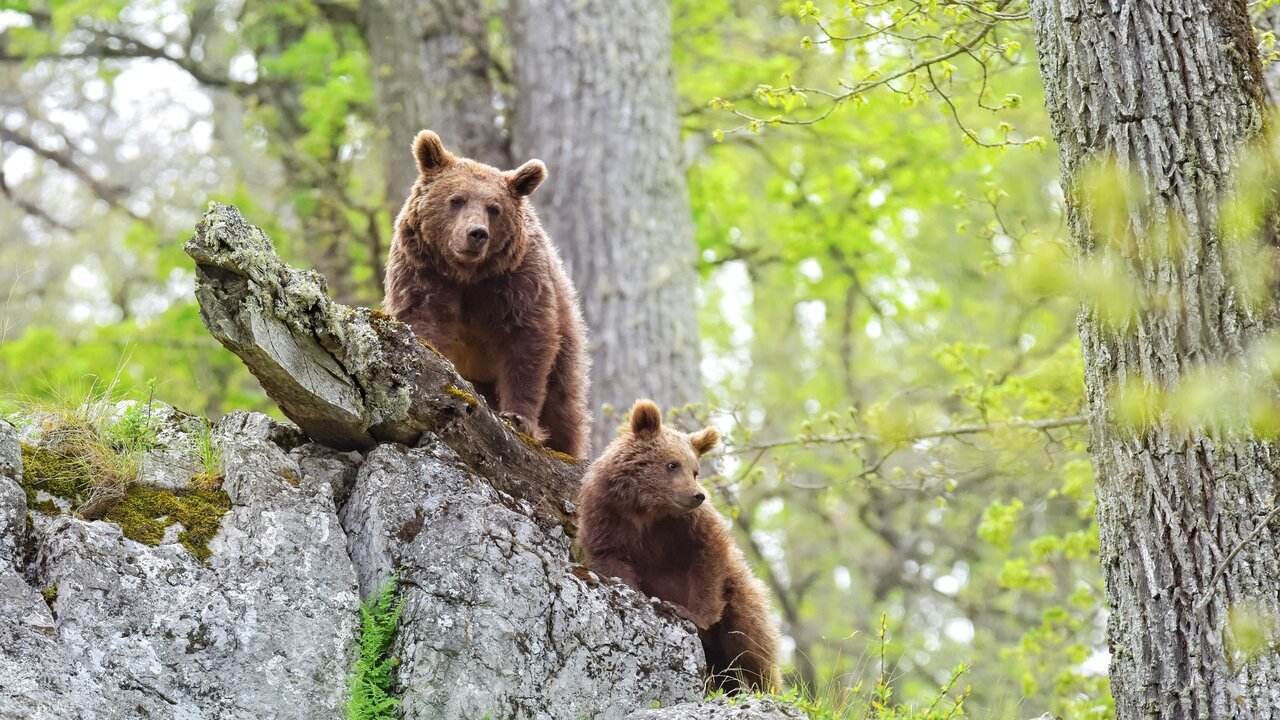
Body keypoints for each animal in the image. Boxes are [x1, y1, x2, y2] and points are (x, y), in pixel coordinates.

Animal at [381, 128, 591, 453]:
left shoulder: (516, 279)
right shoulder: (421, 267)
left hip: (567, 342)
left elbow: (527, 342)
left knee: (563, 407)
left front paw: (518, 417)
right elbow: (421, 317)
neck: (467, 273)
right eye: (457, 200)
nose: (476, 233)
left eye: (494, 208)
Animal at [578, 397, 778, 691]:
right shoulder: (605, 513)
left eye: (695, 470)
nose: (698, 495)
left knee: (751, 644)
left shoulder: (685, 525)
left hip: (739, 593)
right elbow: (611, 559)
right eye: (672, 464)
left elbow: (709, 554)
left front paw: (687, 611)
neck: (645, 509)